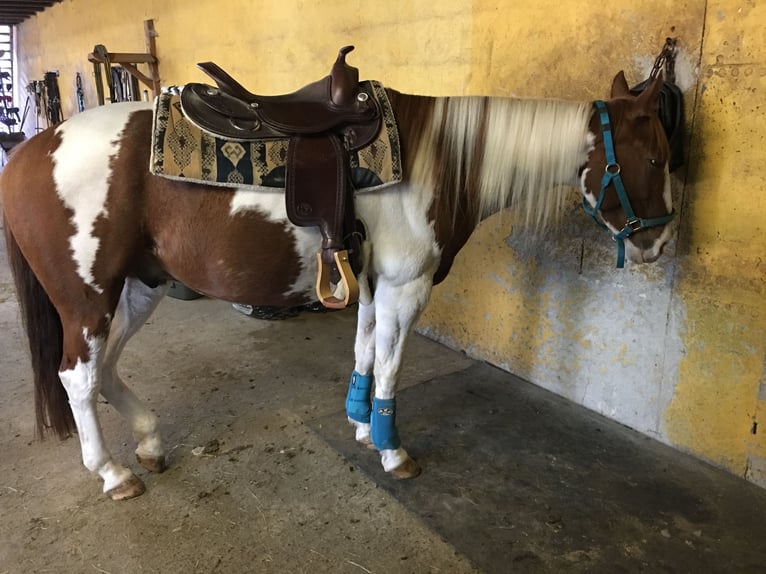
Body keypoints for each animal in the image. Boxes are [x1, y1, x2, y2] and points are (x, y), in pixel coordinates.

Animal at [0, 60, 676, 500]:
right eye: (658, 157)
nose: (661, 243)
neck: (440, 155)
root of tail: (32, 151)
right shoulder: (407, 286)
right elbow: (392, 367)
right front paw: (392, 448)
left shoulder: (374, 283)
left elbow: (366, 350)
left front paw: (359, 423)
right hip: (87, 299)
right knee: (78, 378)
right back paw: (113, 474)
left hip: (139, 288)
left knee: (106, 367)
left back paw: (146, 441)